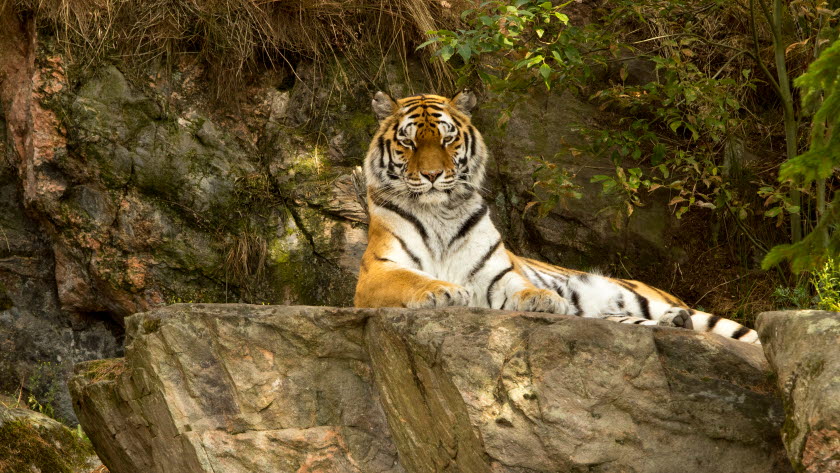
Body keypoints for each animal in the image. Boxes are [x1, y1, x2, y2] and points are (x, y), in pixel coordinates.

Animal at [353, 90, 760, 345]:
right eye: (408, 142)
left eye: (447, 139)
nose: (433, 175)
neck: (440, 211)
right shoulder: (378, 272)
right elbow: (411, 278)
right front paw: (444, 290)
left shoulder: (496, 273)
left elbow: (520, 286)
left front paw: (544, 299)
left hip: (654, 299)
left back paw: (678, 320)